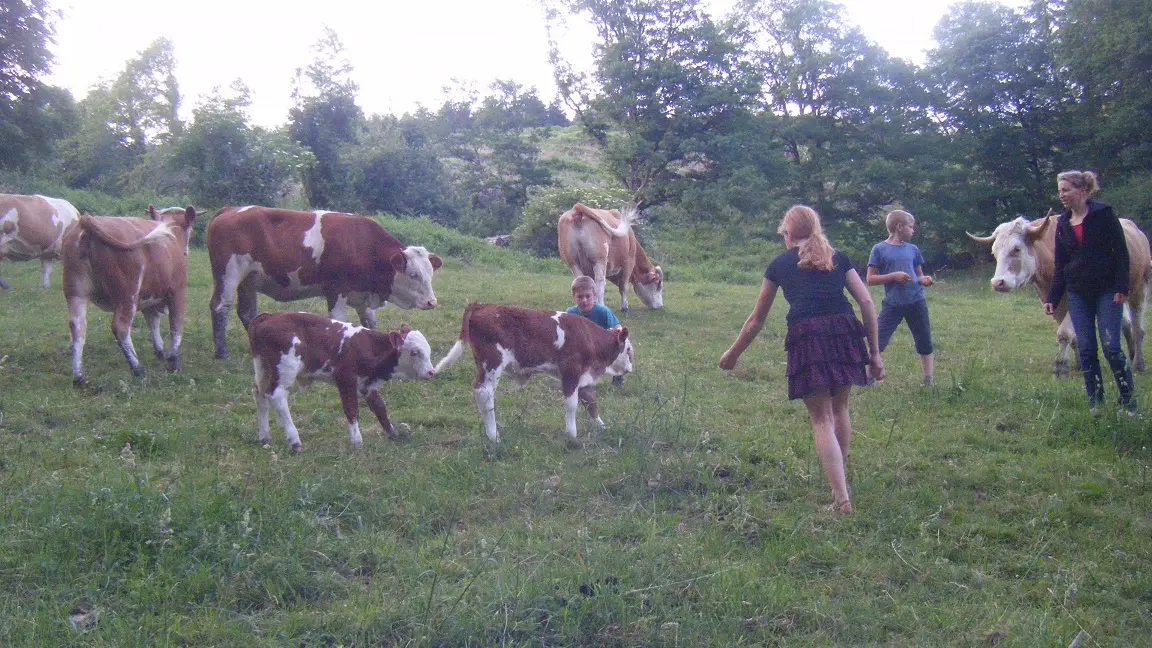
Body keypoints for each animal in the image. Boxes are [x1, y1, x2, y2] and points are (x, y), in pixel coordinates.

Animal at [61, 204, 198, 382]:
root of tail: (87, 220)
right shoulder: (177, 291)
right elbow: (176, 325)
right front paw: (174, 360)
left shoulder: (149, 300)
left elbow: (153, 323)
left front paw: (160, 351)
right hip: (127, 296)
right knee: (120, 328)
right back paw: (137, 368)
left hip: (76, 293)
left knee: (77, 327)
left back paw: (79, 377)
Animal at [205, 205, 442, 357]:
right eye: (413, 274)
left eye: (430, 273)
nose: (432, 302)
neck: (362, 244)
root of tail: (230, 209)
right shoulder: (336, 290)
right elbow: (339, 321)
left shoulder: (362, 295)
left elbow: (369, 322)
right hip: (229, 274)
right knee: (220, 307)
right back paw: (221, 353)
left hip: (248, 281)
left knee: (247, 312)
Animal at [248, 311, 435, 451]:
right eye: (414, 352)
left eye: (428, 350)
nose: (431, 372)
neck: (368, 346)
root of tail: (268, 317)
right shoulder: (346, 379)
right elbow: (351, 409)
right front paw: (357, 441)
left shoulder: (367, 385)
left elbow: (380, 407)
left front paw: (391, 433)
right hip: (284, 369)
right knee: (276, 397)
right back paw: (295, 441)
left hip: (262, 368)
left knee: (259, 394)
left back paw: (264, 436)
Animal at [433, 302, 635, 440]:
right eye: (628, 350)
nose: (630, 369)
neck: (589, 337)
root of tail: (481, 305)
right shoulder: (571, 371)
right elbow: (572, 404)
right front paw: (572, 434)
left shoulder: (583, 376)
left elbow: (590, 401)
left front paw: (601, 426)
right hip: (491, 363)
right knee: (484, 393)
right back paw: (494, 437)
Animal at [967, 212, 1147, 373]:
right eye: (994, 252)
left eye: (1017, 249)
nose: (997, 283)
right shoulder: (1053, 303)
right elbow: (1073, 336)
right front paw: (1080, 364)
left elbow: (1064, 332)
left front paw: (1061, 364)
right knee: (1126, 324)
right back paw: (1131, 355)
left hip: (1140, 288)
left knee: (1137, 328)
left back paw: (1138, 364)